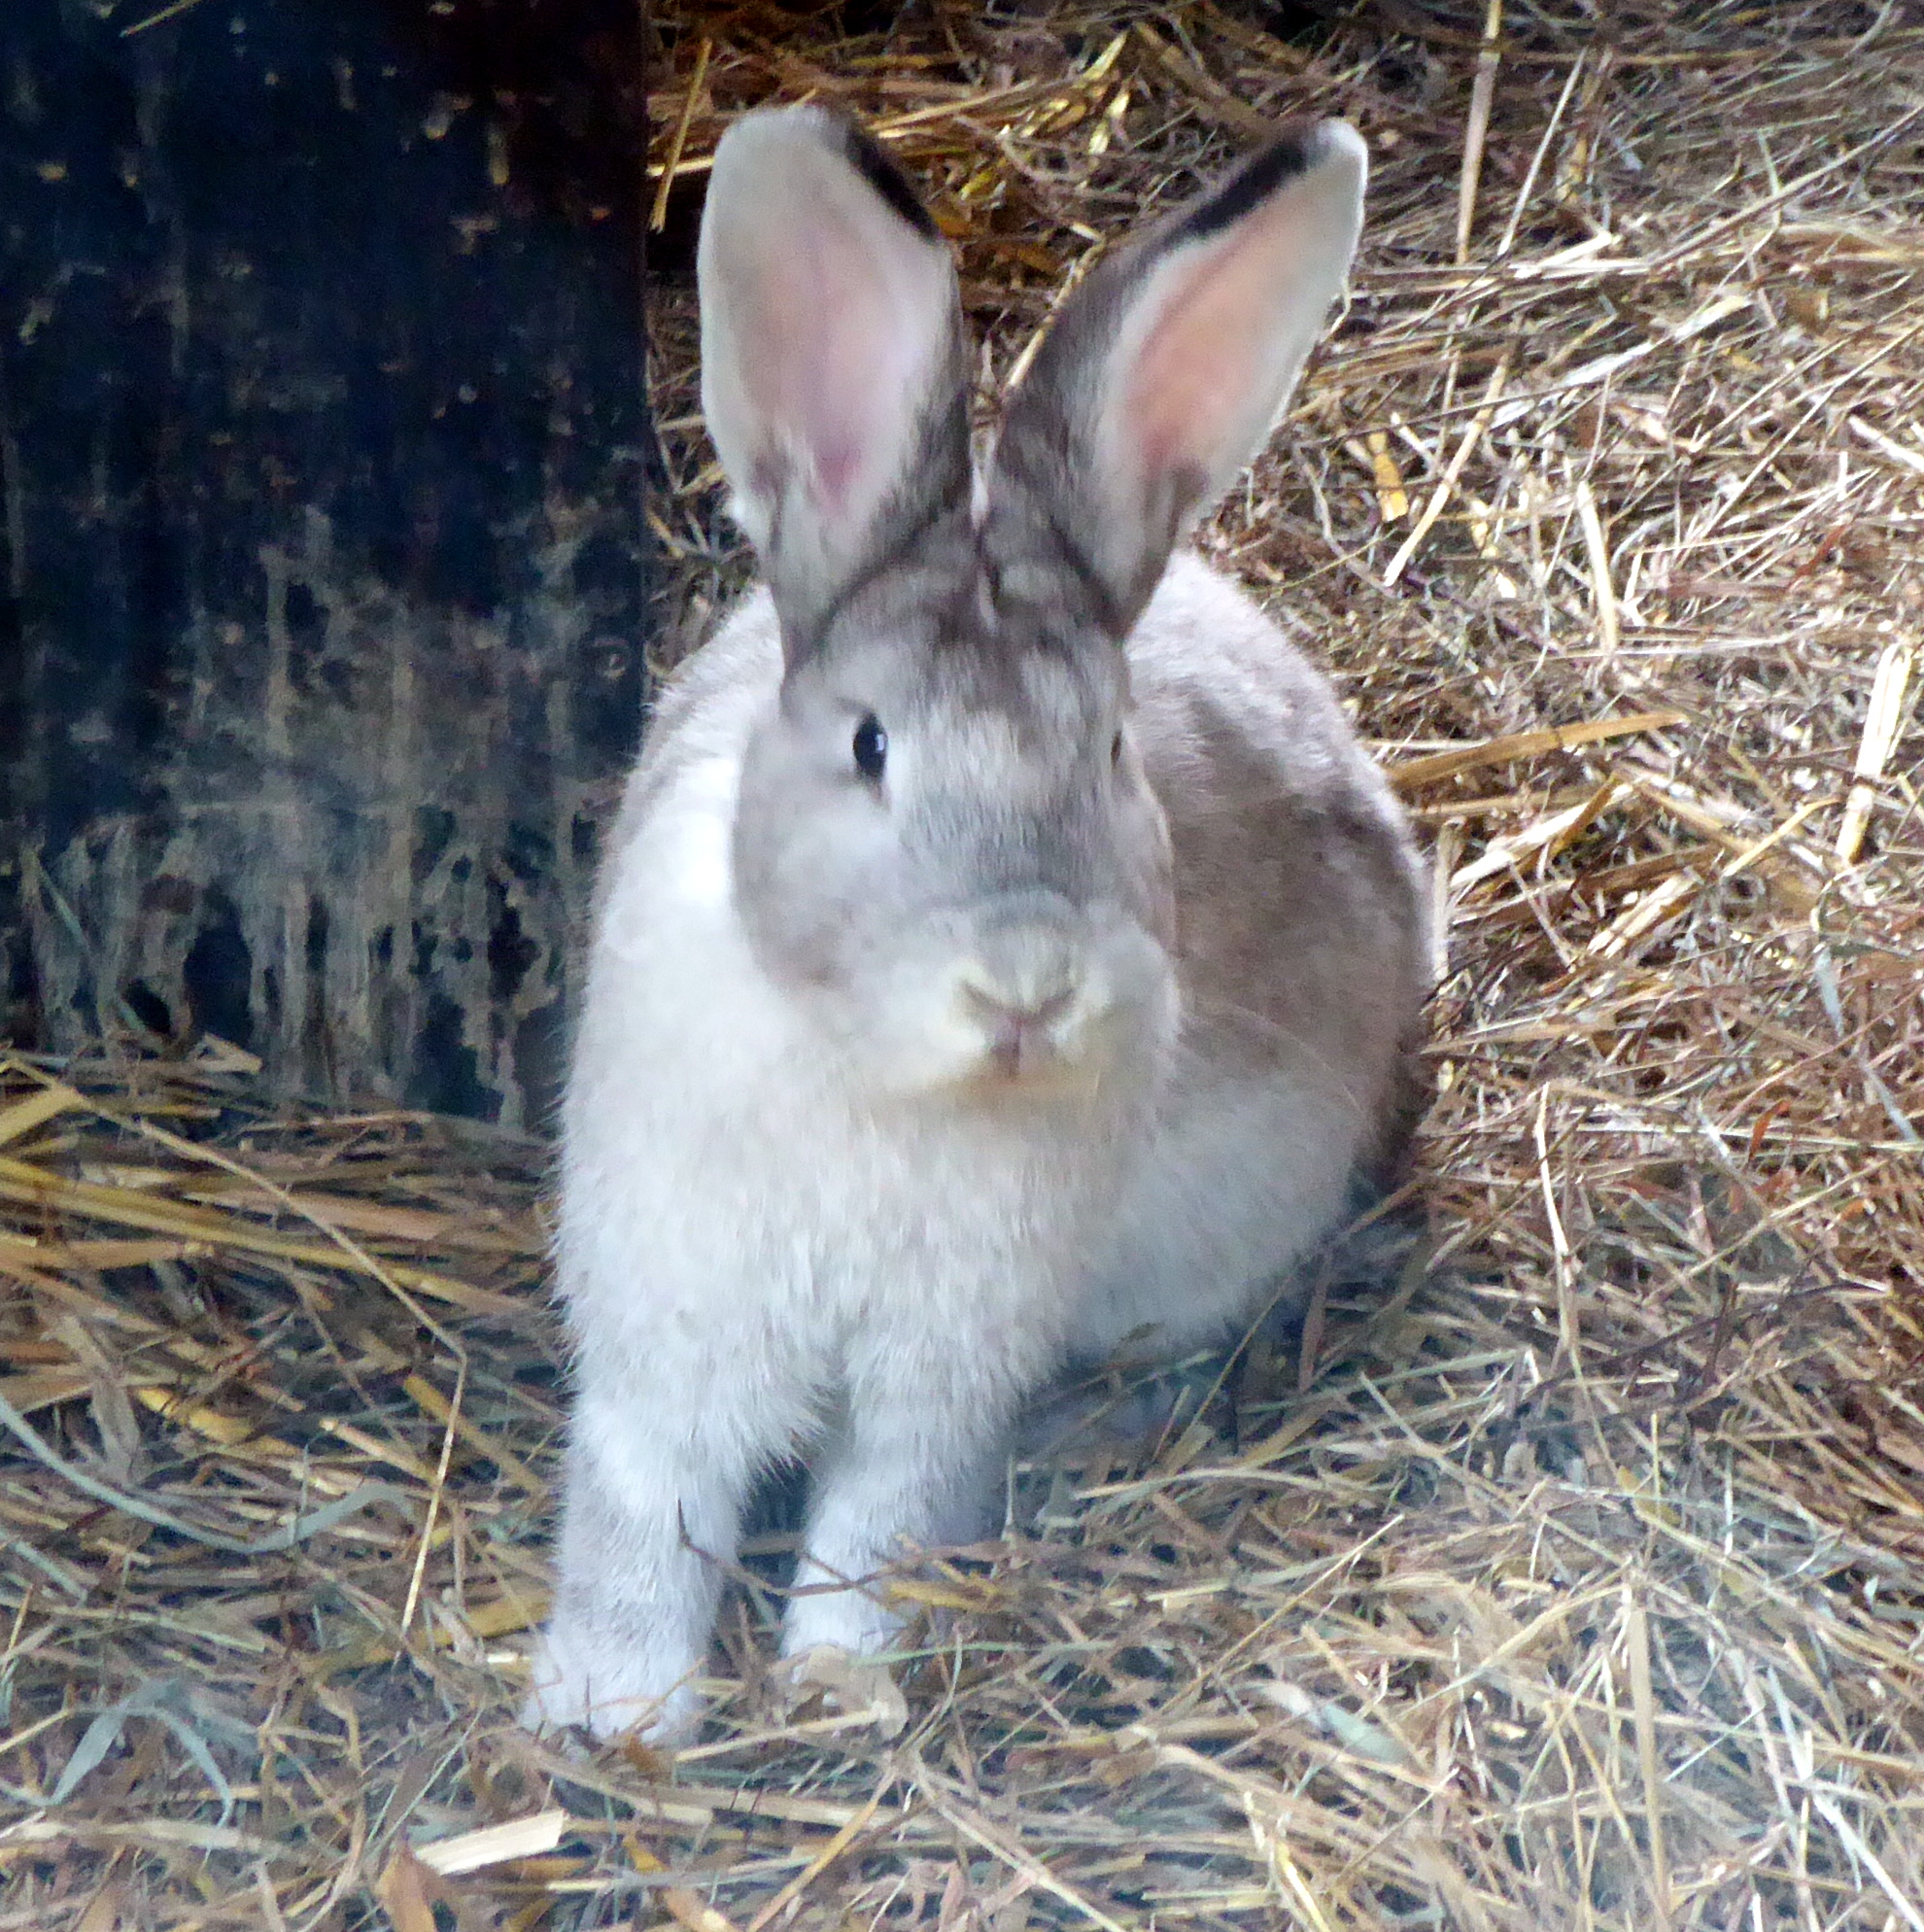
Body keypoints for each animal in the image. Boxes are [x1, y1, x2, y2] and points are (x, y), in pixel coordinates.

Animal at [523, 103, 1431, 1742]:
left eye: (1116, 754)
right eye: (870, 746)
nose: (1025, 985)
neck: (873, 1078)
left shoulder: (939, 1373)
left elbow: (881, 1514)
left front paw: (837, 1686)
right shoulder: (666, 1335)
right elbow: (644, 1510)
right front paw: (611, 1713)